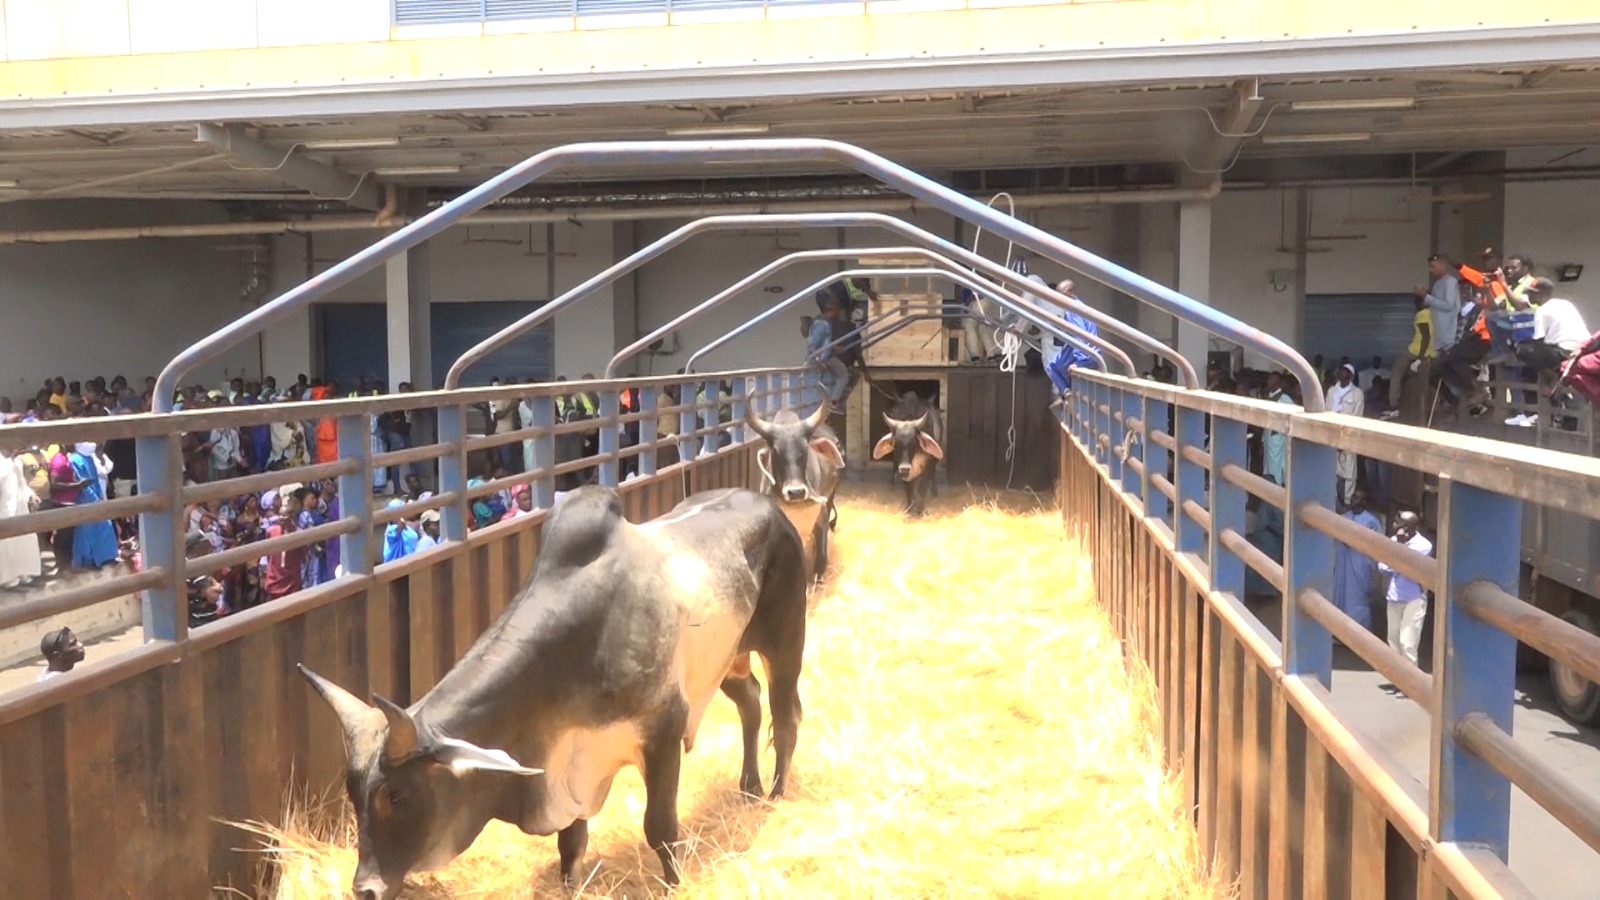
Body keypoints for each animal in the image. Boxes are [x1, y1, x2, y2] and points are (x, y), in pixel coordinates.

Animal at [299, 486, 806, 890]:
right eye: (353, 793)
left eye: (397, 797)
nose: (365, 889)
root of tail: (768, 504)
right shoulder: (572, 765)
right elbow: (571, 843)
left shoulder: (664, 729)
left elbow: (660, 827)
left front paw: (675, 883)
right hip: (730, 660)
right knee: (751, 701)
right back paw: (749, 787)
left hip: (784, 643)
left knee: (784, 714)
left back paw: (776, 792)